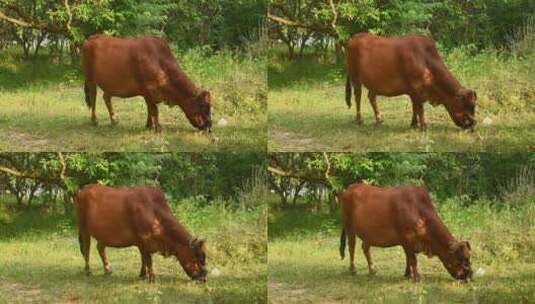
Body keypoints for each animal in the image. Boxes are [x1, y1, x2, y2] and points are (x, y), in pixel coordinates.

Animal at [75, 183, 207, 282]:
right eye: (197, 258)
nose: (204, 278)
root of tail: (83, 189)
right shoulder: (144, 240)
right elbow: (148, 260)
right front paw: (152, 278)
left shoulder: (141, 243)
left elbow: (144, 258)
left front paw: (143, 275)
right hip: (83, 228)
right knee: (86, 249)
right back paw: (88, 271)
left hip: (103, 234)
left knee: (100, 248)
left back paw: (108, 270)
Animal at [81, 34, 211, 132]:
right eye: (203, 105)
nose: (209, 125)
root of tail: (90, 38)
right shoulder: (148, 89)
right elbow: (154, 109)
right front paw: (158, 128)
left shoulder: (147, 94)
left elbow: (149, 108)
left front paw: (149, 125)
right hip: (89, 78)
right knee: (93, 97)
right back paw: (94, 120)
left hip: (110, 84)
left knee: (106, 98)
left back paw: (114, 120)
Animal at [340, 182, 474, 282]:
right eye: (463, 258)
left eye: (469, 257)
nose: (470, 276)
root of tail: (350, 188)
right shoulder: (408, 238)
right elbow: (413, 259)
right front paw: (416, 277)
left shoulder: (406, 242)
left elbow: (408, 258)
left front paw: (407, 274)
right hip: (349, 226)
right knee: (351, 247)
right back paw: (353, 270)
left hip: (367, 233)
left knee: (365, 248)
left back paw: (372, 269)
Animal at [346, 33, 480, 131]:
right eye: (467, 105)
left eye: (473, 105)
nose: (472, 125)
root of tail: (353, 38)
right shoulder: (416, 88)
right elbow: (420, 108)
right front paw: (423, 126)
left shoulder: (413, 92)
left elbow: (415, 106)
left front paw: (414, 124)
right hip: (354, 76)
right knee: (358, 96)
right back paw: (359, 119)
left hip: (374, 83)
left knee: (371, 97)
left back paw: (379, 119)